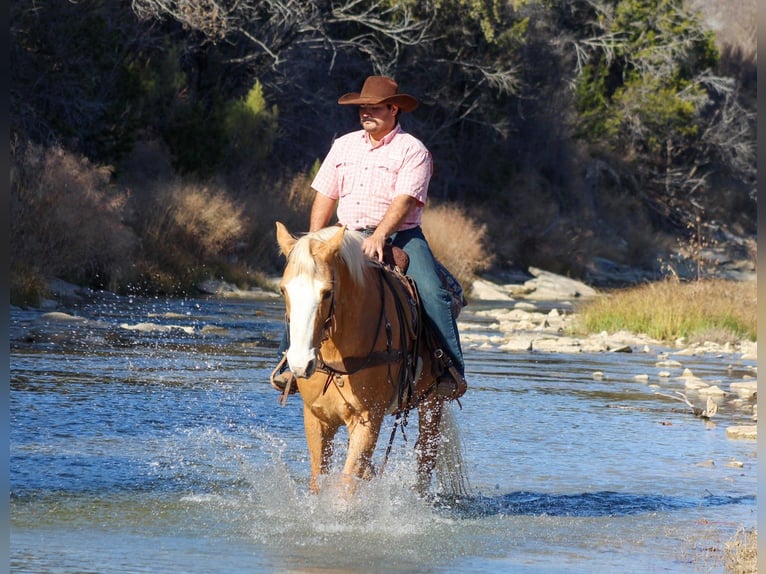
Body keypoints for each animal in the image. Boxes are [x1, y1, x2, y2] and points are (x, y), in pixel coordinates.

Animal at [274, 221, 460, 495]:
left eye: (327, 292)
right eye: (283, 289)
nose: (299, 364)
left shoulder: (367, 421)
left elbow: (347, 488)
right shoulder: (316, 418)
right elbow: (318, 481)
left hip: (433, 401)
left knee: (426, 457)